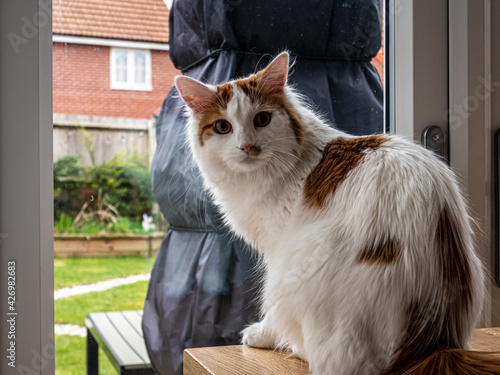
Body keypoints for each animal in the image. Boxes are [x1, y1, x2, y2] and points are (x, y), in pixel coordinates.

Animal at [175, 53, 500, 375]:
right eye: (223, 127)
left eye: (262, 120)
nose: (247, 147)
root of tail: (432, 347)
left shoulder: (276, 249)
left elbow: (271, 313)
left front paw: (261, 334)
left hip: (298, 264)